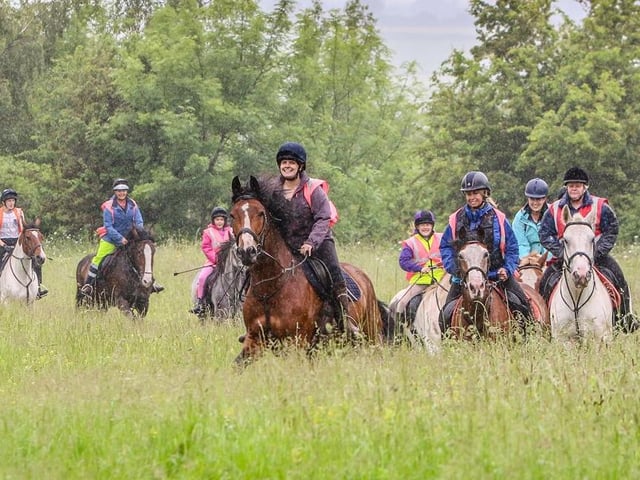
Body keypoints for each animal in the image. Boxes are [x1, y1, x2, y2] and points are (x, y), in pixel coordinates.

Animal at [230, 175, 383, 363]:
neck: (270, 287)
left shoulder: (297, 340)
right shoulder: (254, 338)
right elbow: (237, 365)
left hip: (372, 334)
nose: (247, 251)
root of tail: (363, 276)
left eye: (260, 213)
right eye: (232, 215)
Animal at [549, 207, 614, 343]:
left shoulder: (594, 339)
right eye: (566, 240)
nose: (581, 275)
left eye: (592, 239)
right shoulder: (563, 339)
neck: (576, 300)